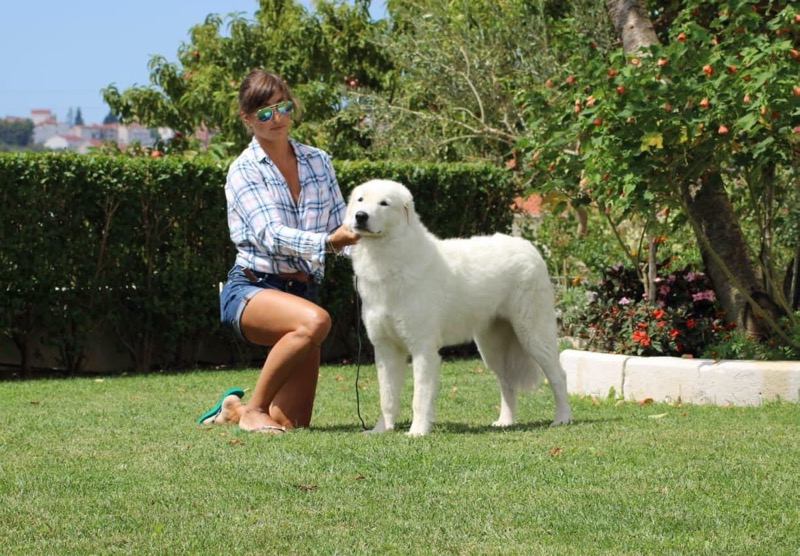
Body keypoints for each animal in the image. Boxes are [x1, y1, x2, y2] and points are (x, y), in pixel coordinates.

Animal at [346, 179, 572, 435]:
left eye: (384, 203)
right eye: (361, 200)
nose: (360, 216)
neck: (386, 257)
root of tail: (528, 246)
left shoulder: (423, 348)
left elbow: (419, 396)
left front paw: (417, 431)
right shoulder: (385, 348)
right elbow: (387, 398)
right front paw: (380, 430)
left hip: (533, 334)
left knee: (558, 376)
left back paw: (562, 418)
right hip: (492, 347)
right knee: (507, 383)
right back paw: (505, 421)